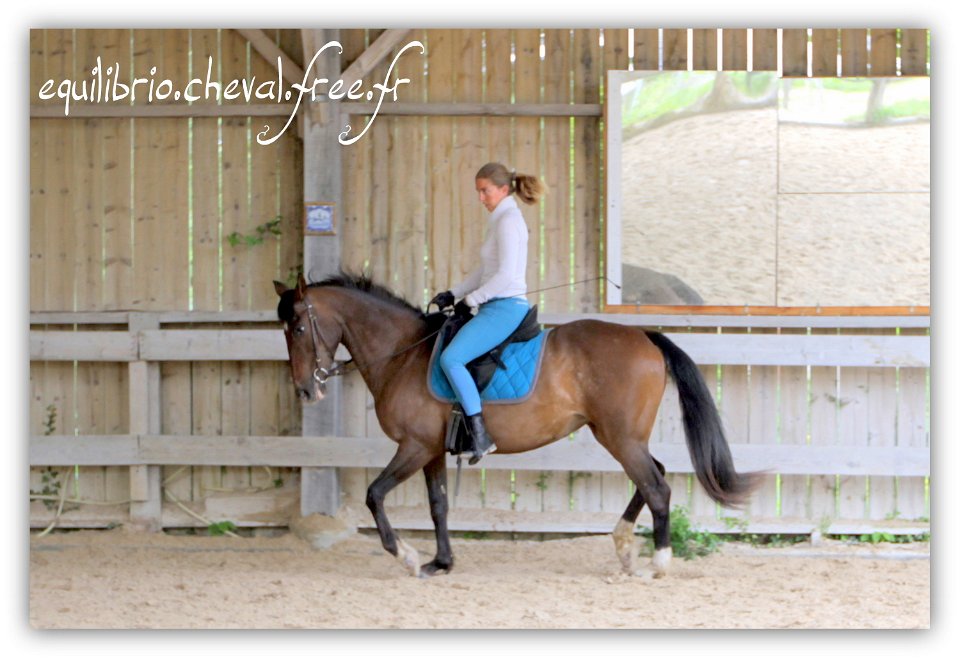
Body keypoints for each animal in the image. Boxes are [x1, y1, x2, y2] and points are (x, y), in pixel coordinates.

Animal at [272, 272, 756, 576]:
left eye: (298, 328)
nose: (305, 390)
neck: (405, 353)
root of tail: (643, 336)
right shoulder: (430, 450)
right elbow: (438, 505)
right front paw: (441, 562)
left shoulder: (412, 447)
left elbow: (374, 495)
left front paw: (406, 555)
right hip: (624, 437)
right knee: (654, 475)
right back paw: (622, 545)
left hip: (619, 437)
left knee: (656, 486)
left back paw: (658, 562)